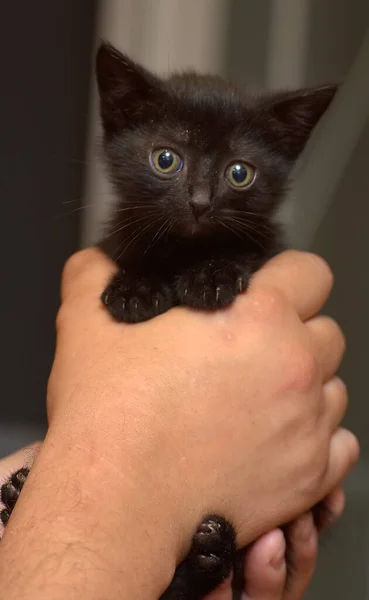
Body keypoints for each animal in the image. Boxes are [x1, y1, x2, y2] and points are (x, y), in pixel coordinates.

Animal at [1, 43, 336, 600]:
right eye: (165, 159)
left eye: (239, 172)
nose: (200, 201)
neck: (184, 250)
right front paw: (136, 289)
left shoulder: (270, 246)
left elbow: (248, 251)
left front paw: (214, 275)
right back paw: (17, 493)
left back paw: (209, 552)